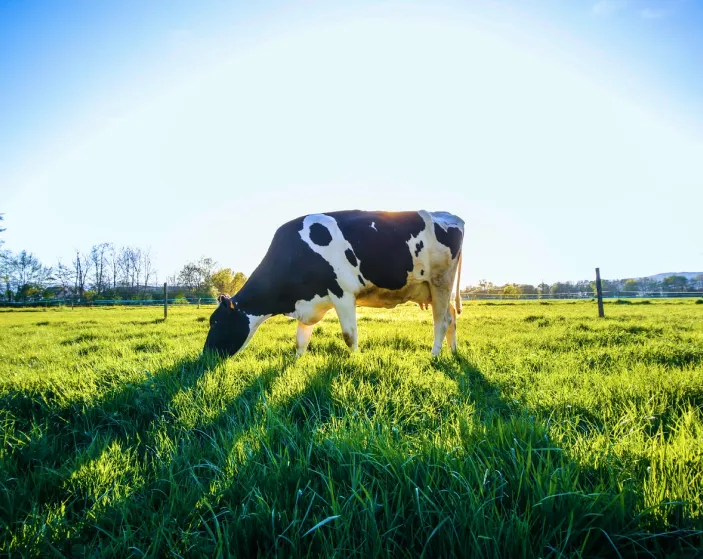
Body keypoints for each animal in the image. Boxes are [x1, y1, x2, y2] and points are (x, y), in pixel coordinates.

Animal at [203, 210, 464, 358]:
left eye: (215, 322)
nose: (205, 355)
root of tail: (449, 215)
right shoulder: (309, 301)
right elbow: (301, 339)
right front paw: (296, 362)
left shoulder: (343, 293)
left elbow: (350, 336)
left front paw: (356, 361)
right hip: (435, 289)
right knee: (451, 317)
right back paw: (453, 352)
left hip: (440, 281)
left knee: (441, 322)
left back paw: (434, 356)